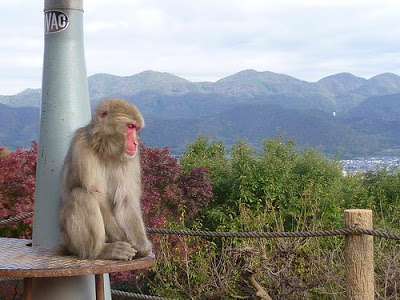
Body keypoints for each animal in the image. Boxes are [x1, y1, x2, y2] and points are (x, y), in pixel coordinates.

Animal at [58, 98, 152, 260]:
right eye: (130, 126)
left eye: (136, 128)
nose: (136, 142)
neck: (106, 149)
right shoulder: (81, 146)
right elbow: (95, 195)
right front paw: (122, 237)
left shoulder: (131, 159)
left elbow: (126, 200)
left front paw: (141, 246)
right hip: (68, 239)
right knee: (81, 195)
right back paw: (101, 250)